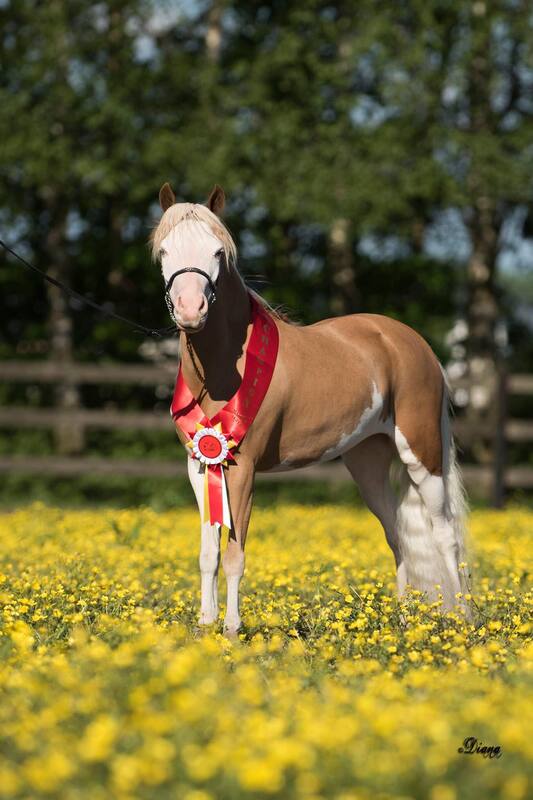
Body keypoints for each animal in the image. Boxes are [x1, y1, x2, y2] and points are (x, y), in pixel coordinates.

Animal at [152, 182, 470, 635]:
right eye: (164, 251)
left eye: (217, 252)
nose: (190, 310)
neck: (224, 368)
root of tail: (411, 342)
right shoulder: (201, 465)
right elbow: (208, 554)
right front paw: (205, 624)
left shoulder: (242, 467)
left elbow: (234, 555)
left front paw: (231, 629)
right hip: (367, 460)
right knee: (396, 533)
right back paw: (403, 616)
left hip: (422, 454)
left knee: (445, 534)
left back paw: (463, 617)